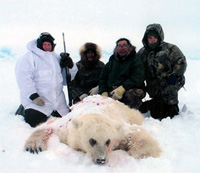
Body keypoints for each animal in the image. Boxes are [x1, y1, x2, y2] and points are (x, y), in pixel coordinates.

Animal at [24, 95, 161, 164]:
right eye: (92, 140)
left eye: (108, 141)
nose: (101, 160)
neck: (94, 112)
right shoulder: (66, 128)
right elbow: (49, 125)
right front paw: (34, 147)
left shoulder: (119, 129)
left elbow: (134, 132)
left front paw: (142, 153)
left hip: (127, 111)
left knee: (136, 116)